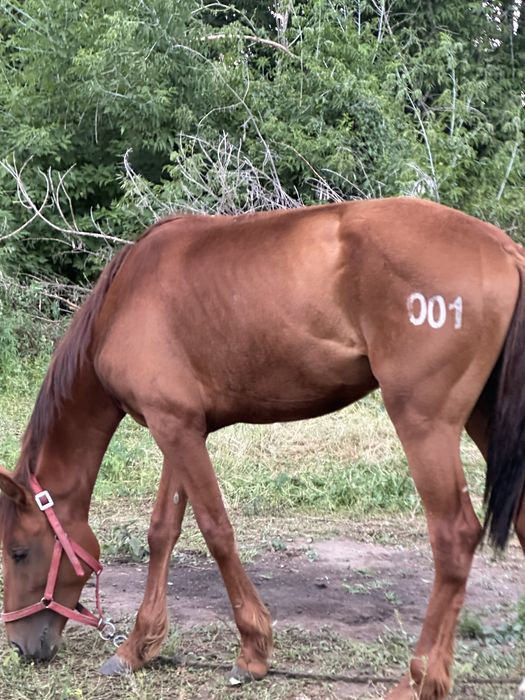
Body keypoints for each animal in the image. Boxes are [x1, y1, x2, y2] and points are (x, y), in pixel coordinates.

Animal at [1, 196, 525, 700]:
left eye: (19, 552)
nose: (21, 646)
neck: (124, 300)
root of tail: (503, 248)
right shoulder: (179, 427)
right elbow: (163, 531)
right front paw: (136, 647)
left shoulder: (175, 428)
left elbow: (216, 531)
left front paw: (253, 651)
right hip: (482, 417)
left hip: (424, 424)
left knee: (454, 538)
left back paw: (419, 681)